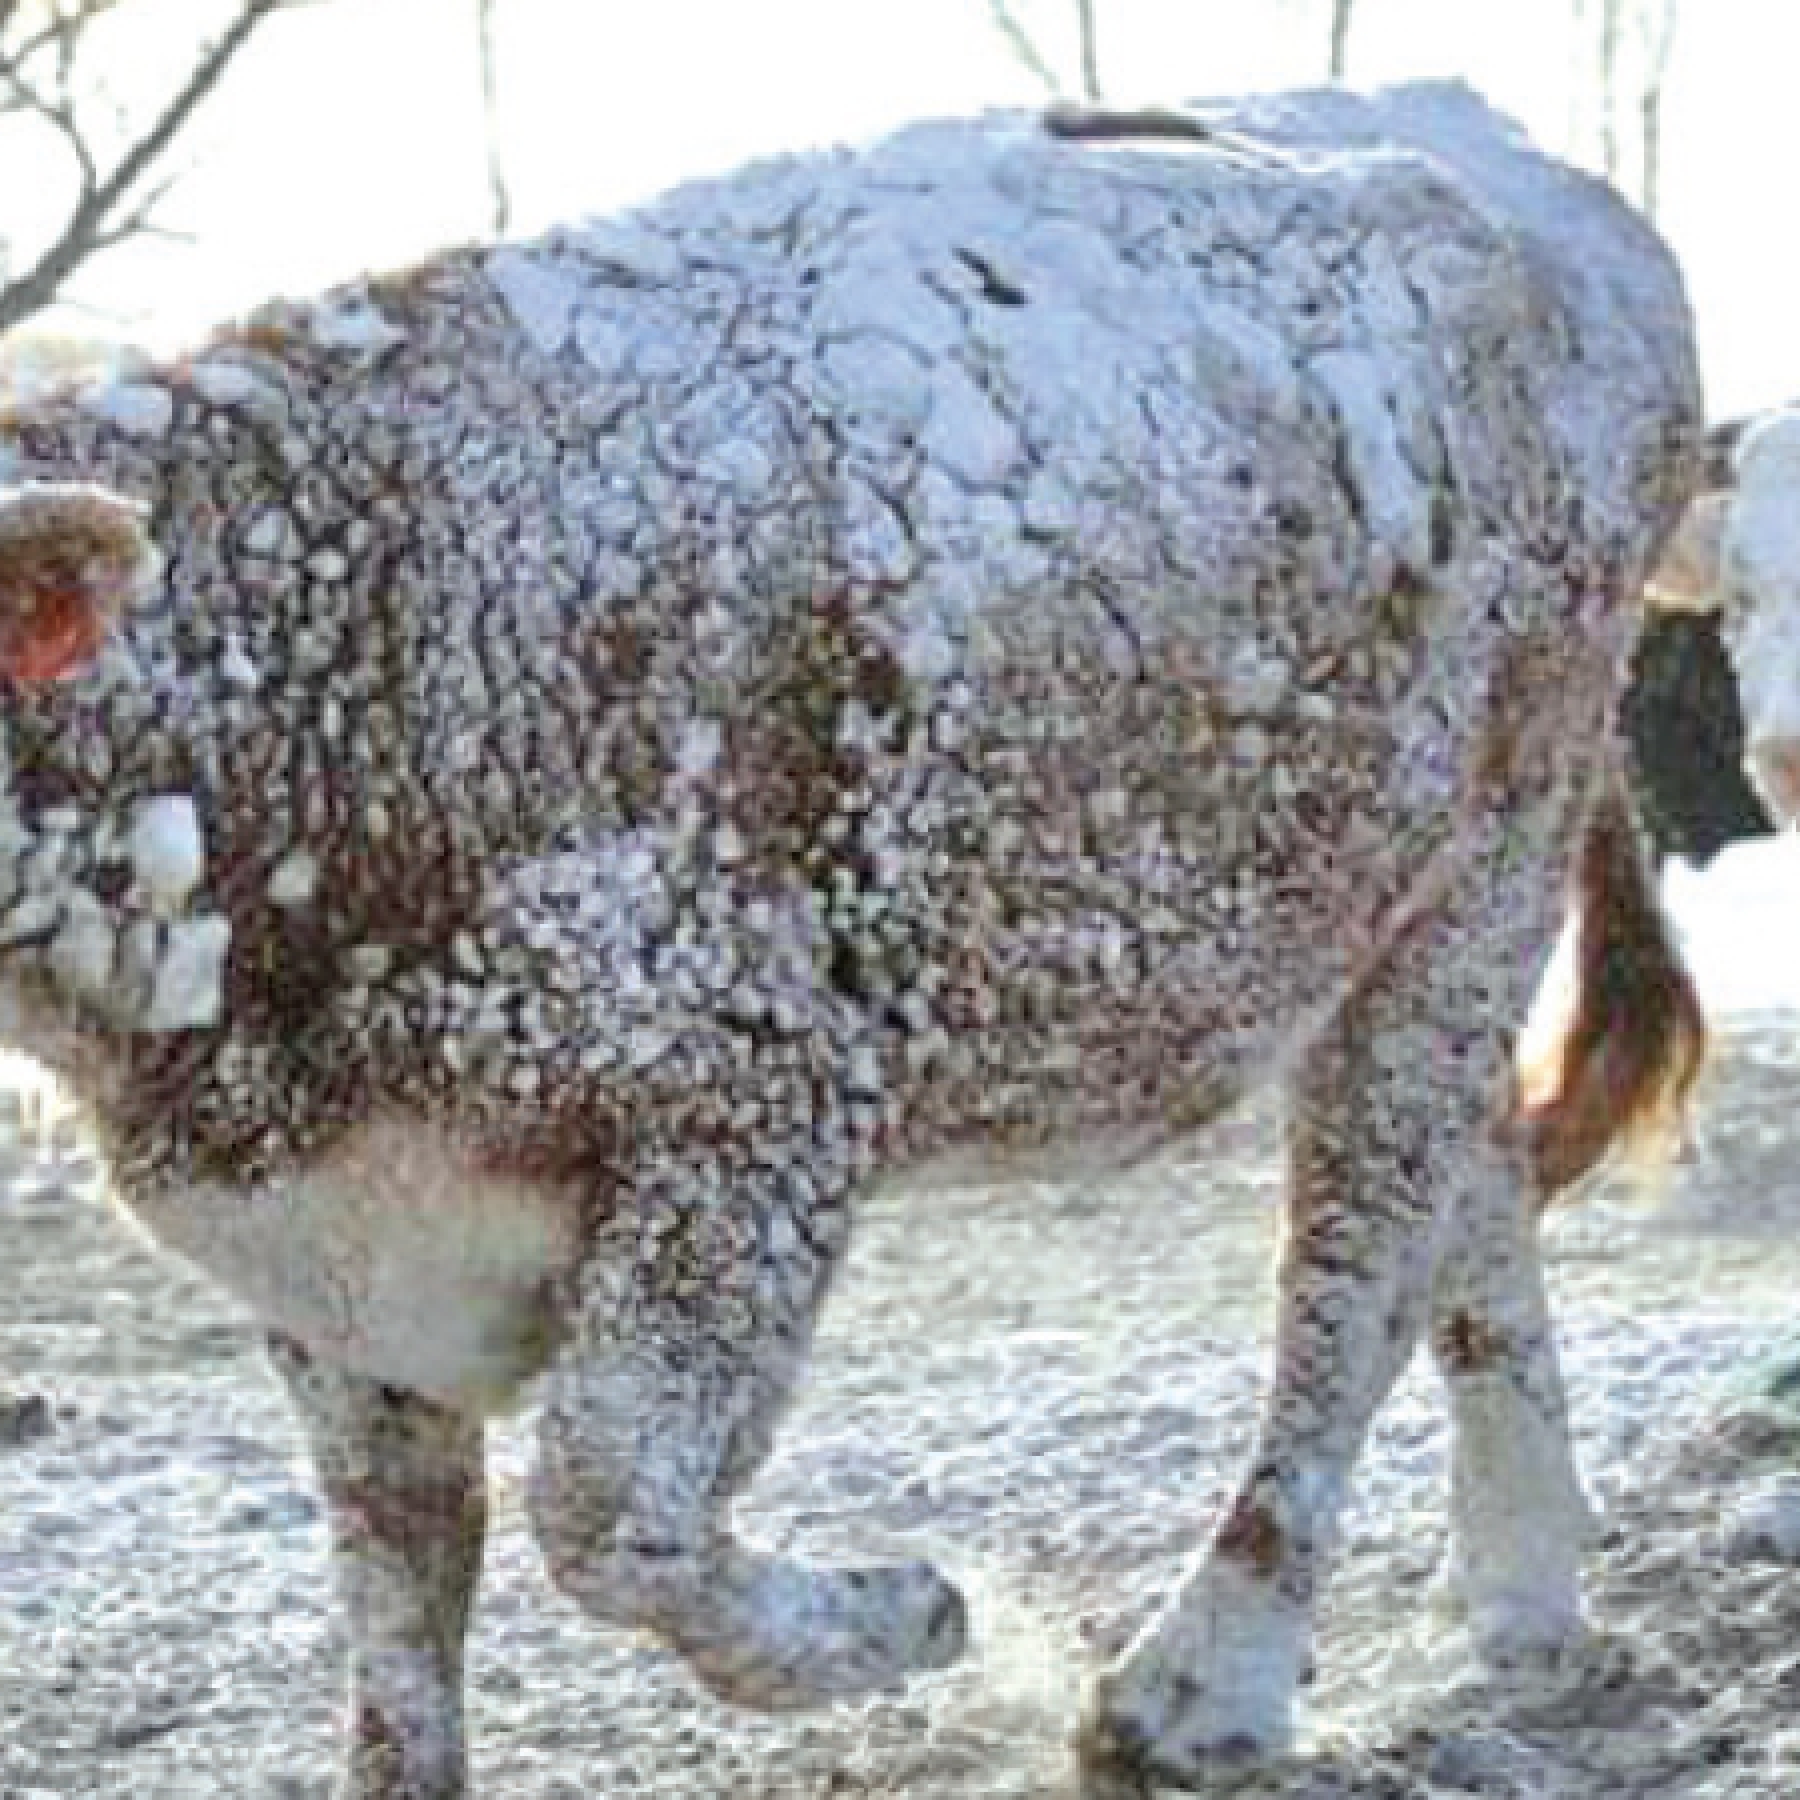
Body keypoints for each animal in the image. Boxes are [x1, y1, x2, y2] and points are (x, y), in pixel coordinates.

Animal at [0, 83, 1702, 1795]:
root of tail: (1513, 164)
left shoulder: (748, 1113)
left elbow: (606, 1506)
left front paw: (910, 1617)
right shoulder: (324, 1242)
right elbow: (404, 1589)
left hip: (1491, 841)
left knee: (1360, 1247)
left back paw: (1205, 1677)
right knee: (1473, 1186)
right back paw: (1523, 1602)